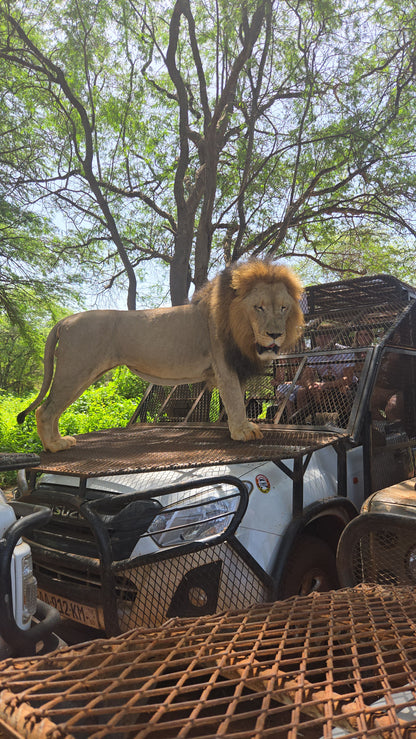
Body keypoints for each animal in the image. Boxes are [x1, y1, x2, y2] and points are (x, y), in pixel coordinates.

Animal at [17, 260, 304, 452]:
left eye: (283, 308)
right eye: (259, 308)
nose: (275, 335)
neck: (241, 325)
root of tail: (64, 321)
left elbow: (238, 399)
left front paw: (242, 428)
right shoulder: (225, 366)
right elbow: (234, 400)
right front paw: (243, 431)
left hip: (81, 374)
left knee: (52, 410)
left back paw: (58, 442)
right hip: (75, 371)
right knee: (45, 410)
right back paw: (55, 445)